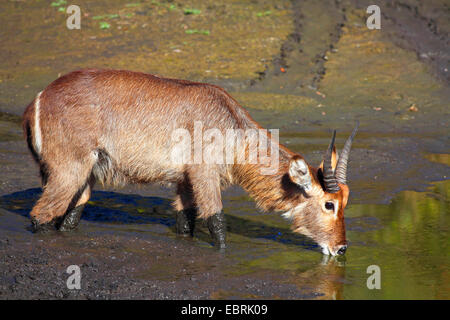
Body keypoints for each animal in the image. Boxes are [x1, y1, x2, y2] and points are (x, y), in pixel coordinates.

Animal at [22, 69, 356, 255]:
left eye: (345, 202)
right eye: (329, 204)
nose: (341, 248)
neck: (230, 124)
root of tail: (39, 98)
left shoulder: (184, 181)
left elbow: (186, 223)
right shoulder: (204, 176)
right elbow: (217, 221)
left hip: (86, 175)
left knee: (71, 213)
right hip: (69, 170)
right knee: (40, 215)